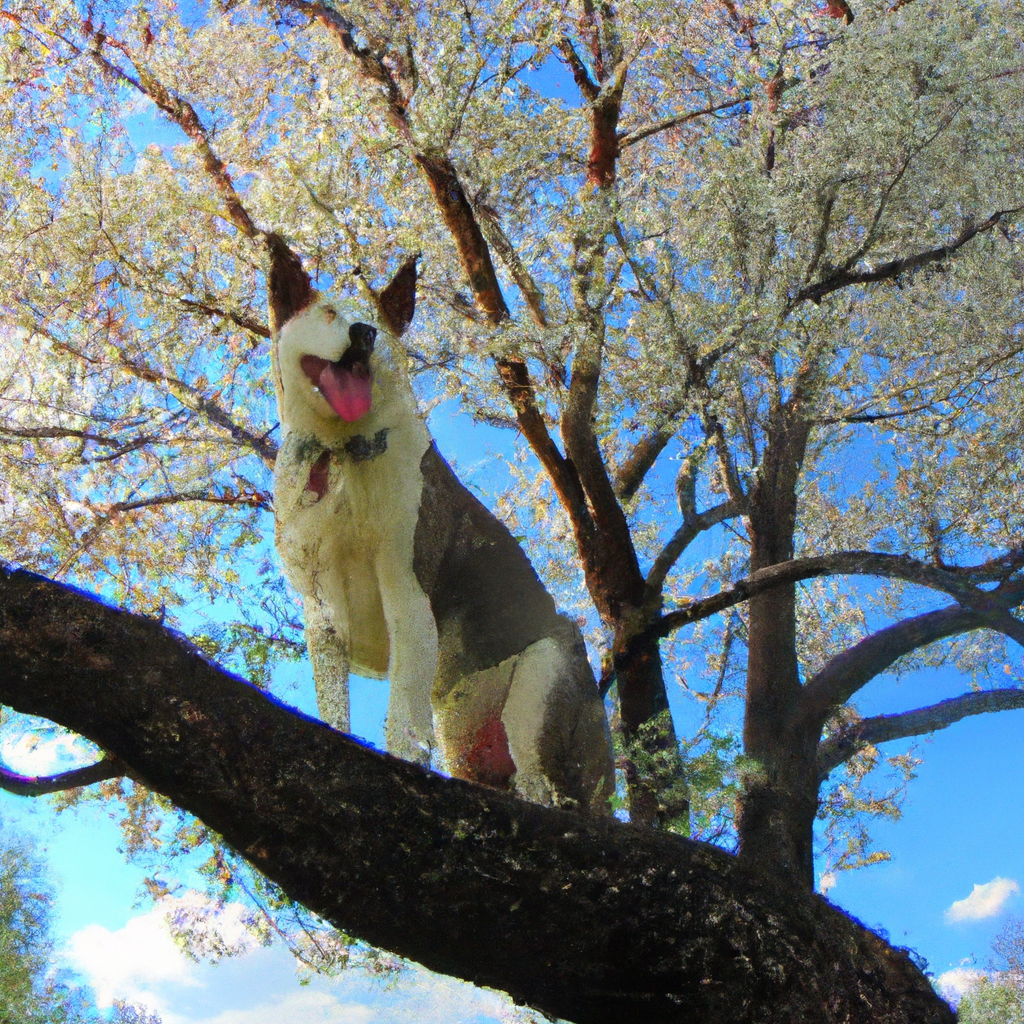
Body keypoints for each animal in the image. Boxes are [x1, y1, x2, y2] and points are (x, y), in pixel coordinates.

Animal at [268, 260, 610, 811]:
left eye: (379, 321)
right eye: (328, 311)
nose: (363, 334)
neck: (345, 449)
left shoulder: (408, 599)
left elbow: (403, 719)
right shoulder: (323, 611)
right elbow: (333, 700)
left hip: (541, 687)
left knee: (544, 786)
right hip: (463, 728)